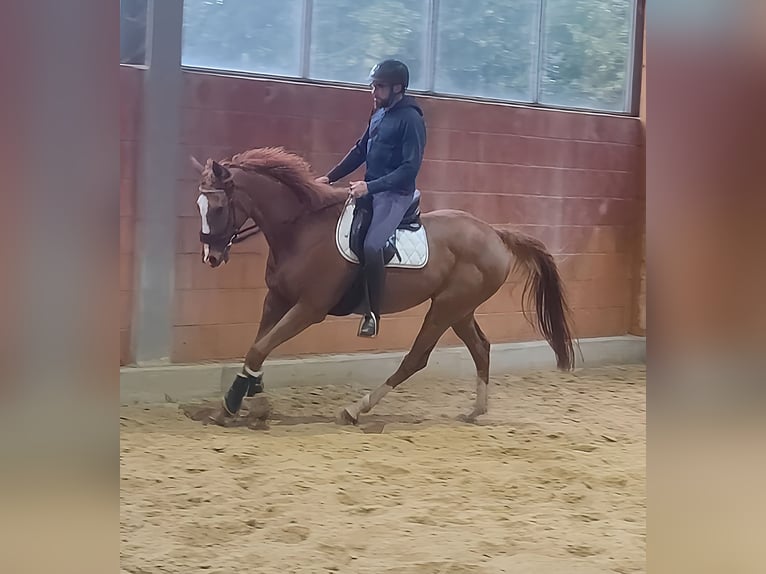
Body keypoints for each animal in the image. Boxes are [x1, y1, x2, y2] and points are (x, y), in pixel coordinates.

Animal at [190, 147, 576, 428]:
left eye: (219, 207)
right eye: (199, 205)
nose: (211, 256)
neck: (301, 229)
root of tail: (494, 233)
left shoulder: (309, 309)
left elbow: (259, 348)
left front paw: (236, 406)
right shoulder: (277, 299)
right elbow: (257, 346)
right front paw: (248, 398)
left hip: (446, 307)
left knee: (416, 359)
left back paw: (355, 409)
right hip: (460, 310)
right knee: (481, 349)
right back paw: (475, 411)